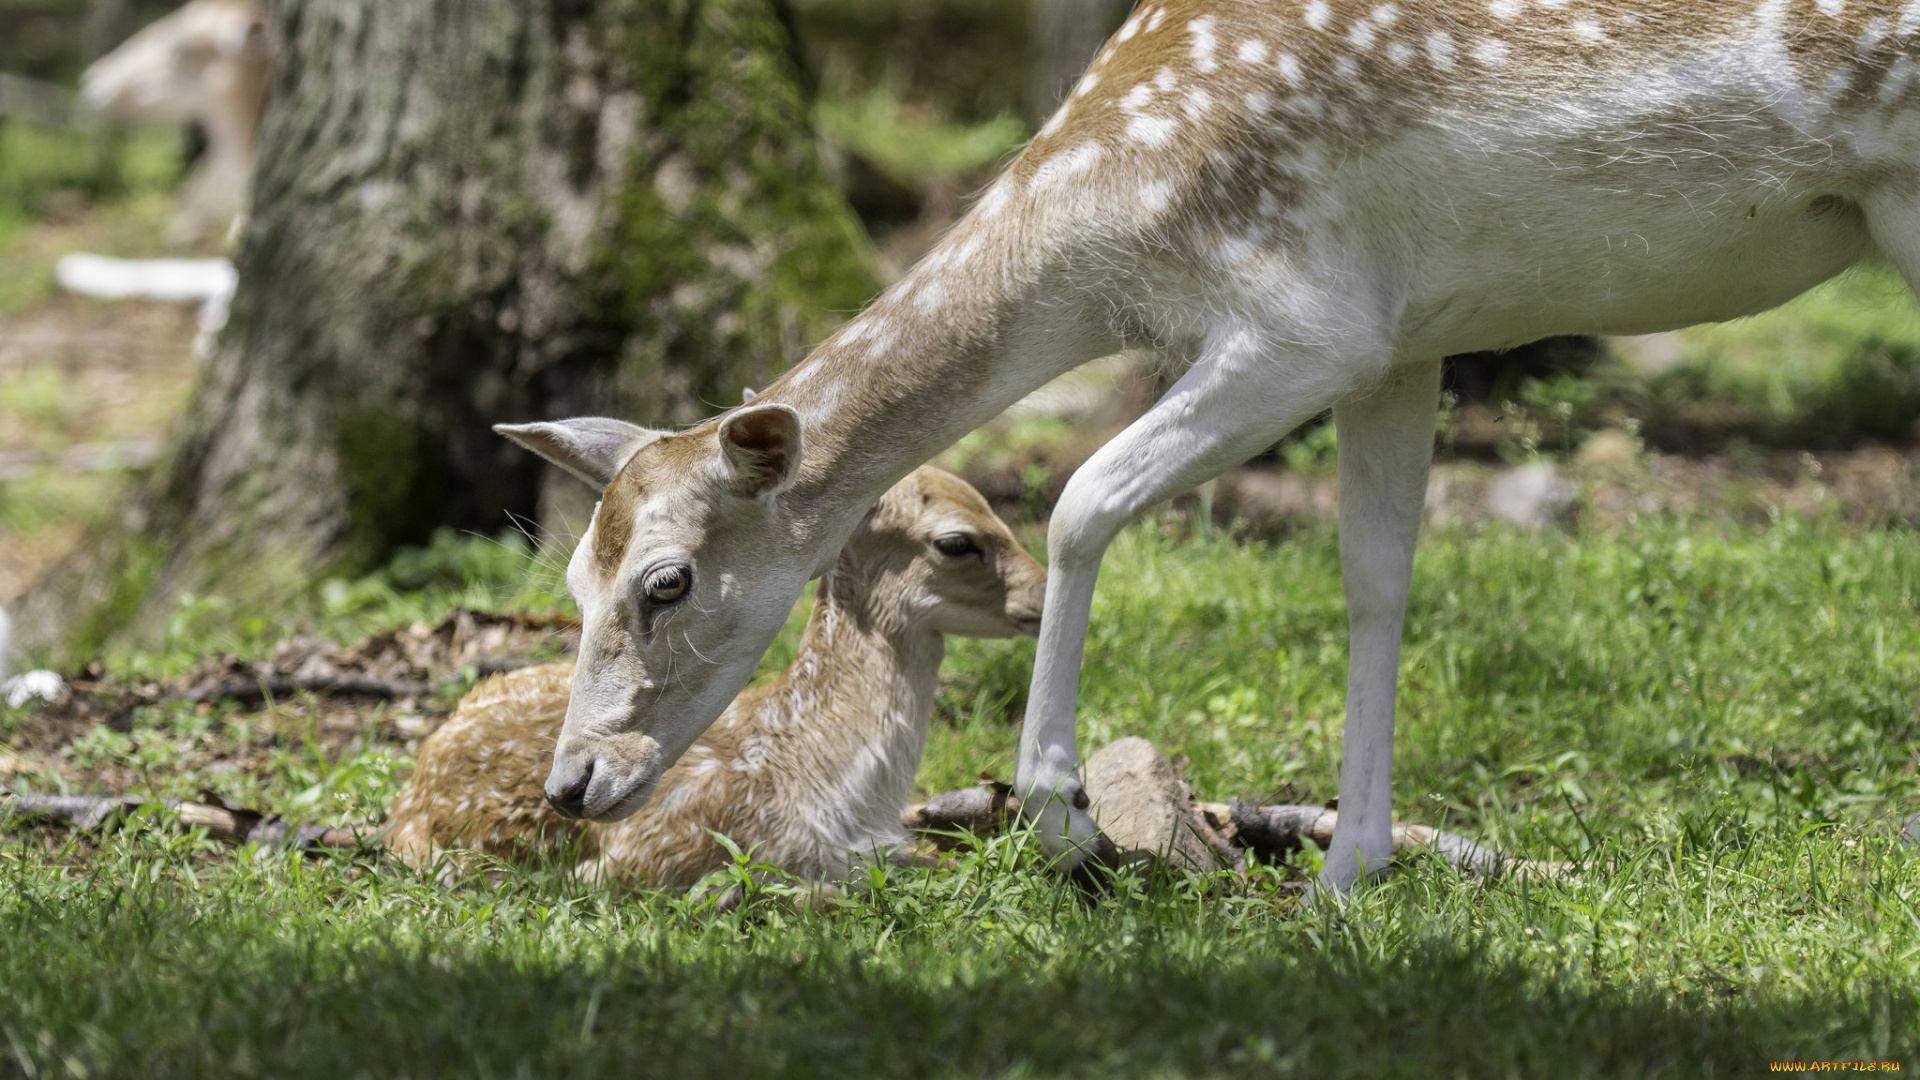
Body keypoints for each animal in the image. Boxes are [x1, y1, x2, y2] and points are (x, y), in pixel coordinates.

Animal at [499, 2, 1920, 891]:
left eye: (668, 581)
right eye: (570, 571)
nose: (573, 781)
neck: (1118, 225)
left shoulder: (1304, 322)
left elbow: (1079, 499)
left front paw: (1066, 820)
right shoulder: (1400, 340)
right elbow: (1376, 579)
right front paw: (1347, 873)